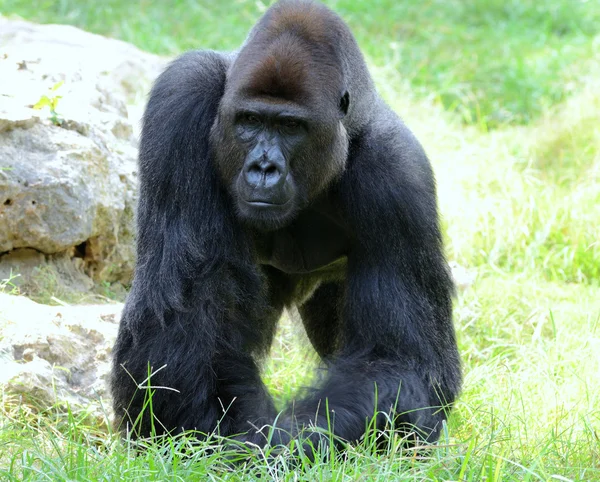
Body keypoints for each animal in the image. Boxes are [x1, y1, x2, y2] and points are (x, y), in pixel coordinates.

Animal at [110, 0, 462, 452]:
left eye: (291, 126)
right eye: (249, 120)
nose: (264, 168)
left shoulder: (399, 176)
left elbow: (400, 363)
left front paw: (287, 443)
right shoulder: (182, 97)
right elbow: (183, 305)